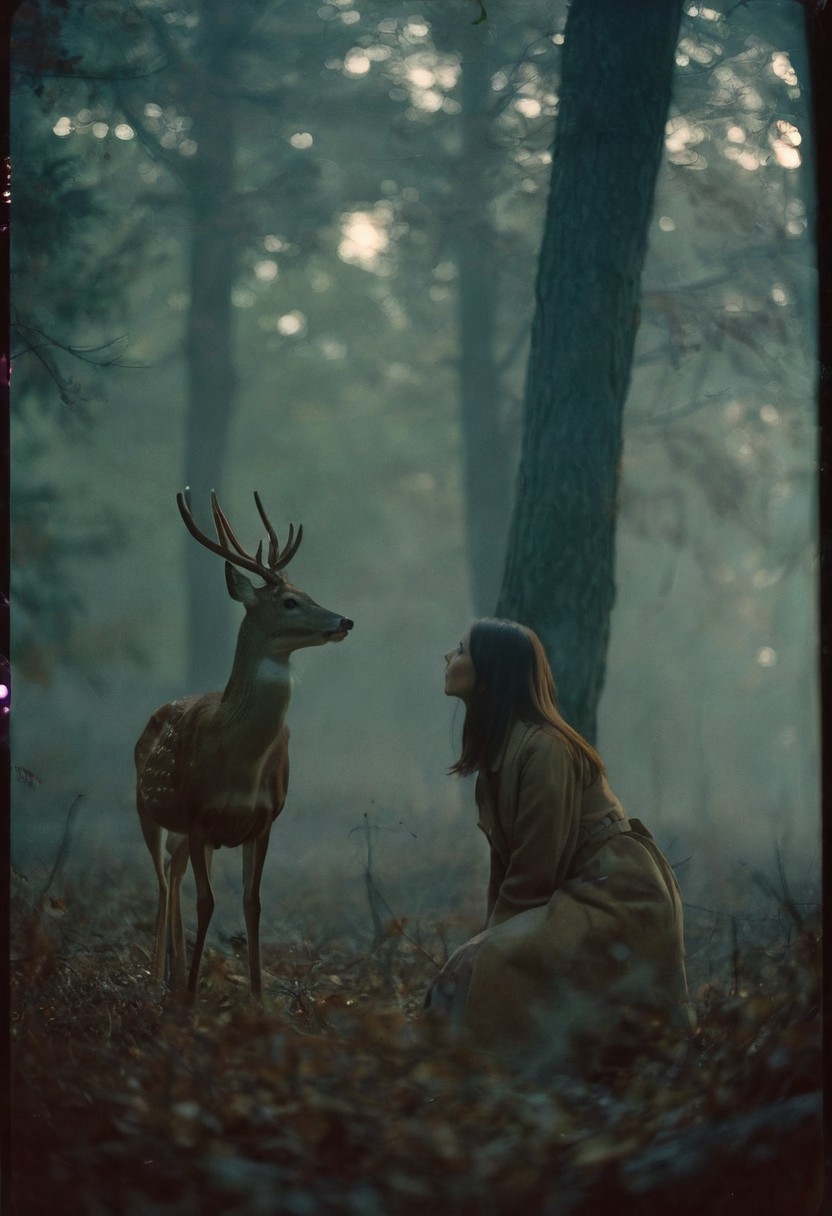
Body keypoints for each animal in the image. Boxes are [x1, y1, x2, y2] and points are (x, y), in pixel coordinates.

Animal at [135, 489, 353, 1001]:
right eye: (290, 602)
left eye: (308, 592)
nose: (344, 620)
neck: (238, 761)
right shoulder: (198, 814)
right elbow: (208, 902)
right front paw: (191, 999)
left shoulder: (264, 818)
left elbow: (252, 903)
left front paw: (257, 997)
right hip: (148, 809)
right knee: (162, 881)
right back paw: (158, 979)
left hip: (186, 834)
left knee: (173, 873)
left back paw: (173, 973)